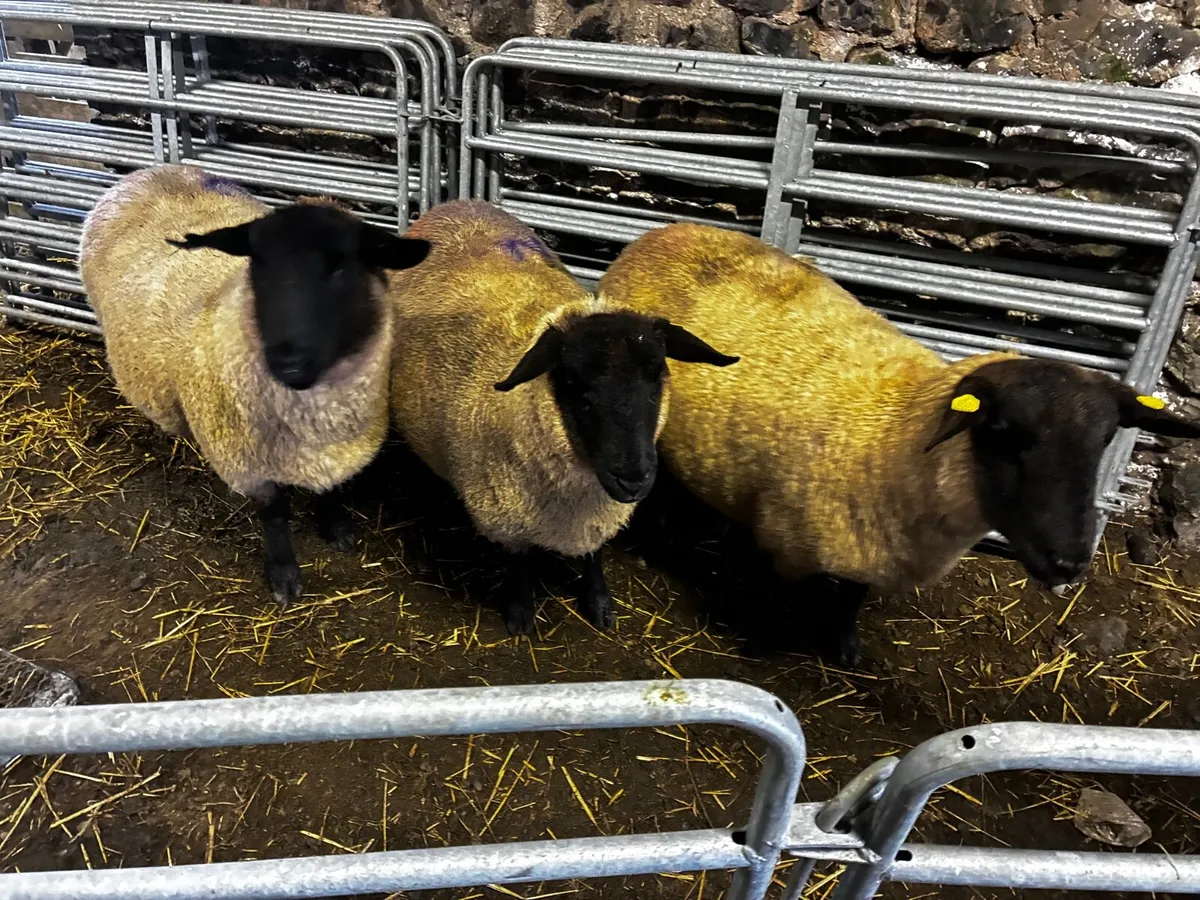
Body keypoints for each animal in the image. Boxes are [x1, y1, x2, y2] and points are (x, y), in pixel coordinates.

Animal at [78, 164, 430, 605]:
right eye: (257, 265)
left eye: (340, 266)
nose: (287, 359)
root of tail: (153, 170)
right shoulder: (245, 461)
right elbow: (274, 514)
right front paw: (283, 575)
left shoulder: (336, 450)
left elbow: (331, 490)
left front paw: (335, 528)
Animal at [387, 201, 738, 634]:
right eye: (573, 383)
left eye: (658, 374)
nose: (633, 479)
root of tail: (458, 204)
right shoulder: (506, 512)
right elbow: (519, 562)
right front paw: (520, 611)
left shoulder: (594, 516)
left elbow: (594, 555)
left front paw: (599, 603)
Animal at [599, 222, 1200, 666]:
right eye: (1003, 433)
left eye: (1104, 441)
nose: (1070, 561)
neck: (898, 437)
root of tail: (662, 233)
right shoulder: (788, 545)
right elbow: (783, 601)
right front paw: (769, 645)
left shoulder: (869, 548)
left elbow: (851, 599)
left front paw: (845, 648)